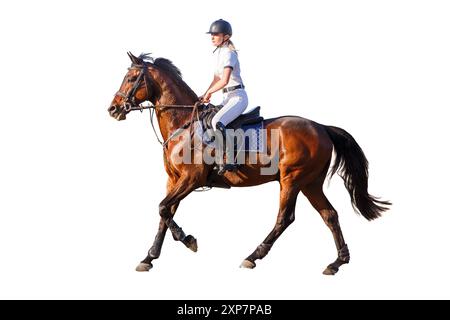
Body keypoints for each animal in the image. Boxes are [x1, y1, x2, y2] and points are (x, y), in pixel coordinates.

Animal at [108, 52, 390, 276]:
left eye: (132, 78)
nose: (113, 109)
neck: (183, 124)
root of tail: (321, 127)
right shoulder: (174, 180)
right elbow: (164, 214)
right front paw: (149, 257)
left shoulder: (191, 179)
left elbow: (163, 209)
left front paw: (188, 241)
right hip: (310, 183)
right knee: (329, 215)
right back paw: (337, 262)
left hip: (292, 179)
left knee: (285, 218)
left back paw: (253, 256)